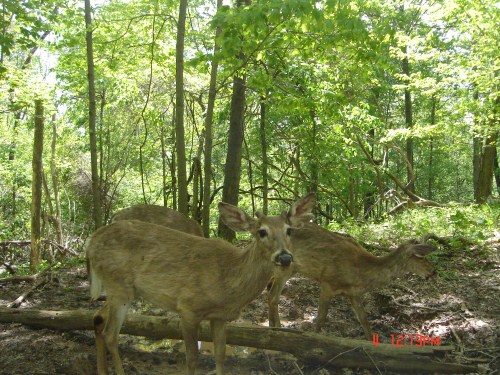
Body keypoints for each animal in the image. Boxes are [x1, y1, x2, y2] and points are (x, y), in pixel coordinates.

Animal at [84, 194, 314, 375]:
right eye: (262, 231)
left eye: (289, 230)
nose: (285, 257)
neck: (229, 280)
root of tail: (91, 240)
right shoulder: (188, 308)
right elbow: (192, 358)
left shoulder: (220, 316)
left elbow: (220, 355)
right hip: (119, 286)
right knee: (111, 334)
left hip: (120, 289)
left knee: (99, 319)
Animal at [268, 223, 436, 340]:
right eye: (420, 256)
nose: (433, 271)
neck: (360, 272)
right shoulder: (327, 283)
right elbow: (321, 318)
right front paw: (315, 337)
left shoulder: (354, 293)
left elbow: (364, 319)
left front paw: (372, 342)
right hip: (285, 266)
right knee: (273, 297)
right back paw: (278, 329)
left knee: (269, 295)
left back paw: (271, 328)